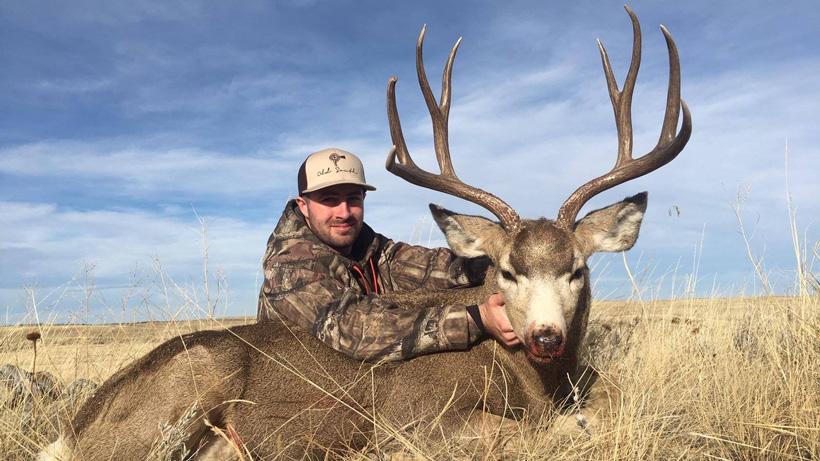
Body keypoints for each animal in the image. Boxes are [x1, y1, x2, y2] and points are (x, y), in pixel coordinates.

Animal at [39, 6, 690, 460]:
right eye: (508, 271)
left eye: (577, 269)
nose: (547, 336)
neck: (532, 382)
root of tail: (75, 428)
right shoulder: (420, 422)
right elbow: (543, 434)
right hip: (189, 386)